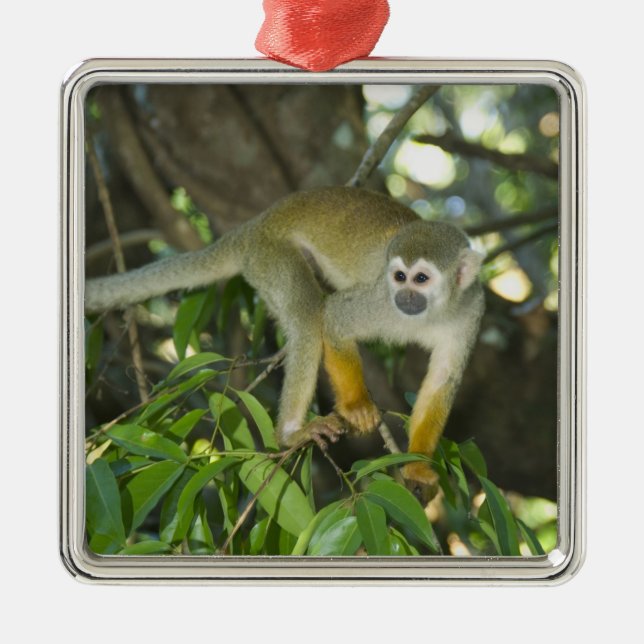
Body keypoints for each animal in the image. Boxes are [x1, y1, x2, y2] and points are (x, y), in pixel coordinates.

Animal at [86, 186, 484, 492]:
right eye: (400, 276)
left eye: (421, 279)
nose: (405, 298)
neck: (431, 312)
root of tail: (255, 225)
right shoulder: (380, 300)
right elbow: (335, 319)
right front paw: (356, 405)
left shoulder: (471, 311)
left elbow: (443, 381)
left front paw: (417, 464)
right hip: (270, 256)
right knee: (309, 317)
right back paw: (291, 434)